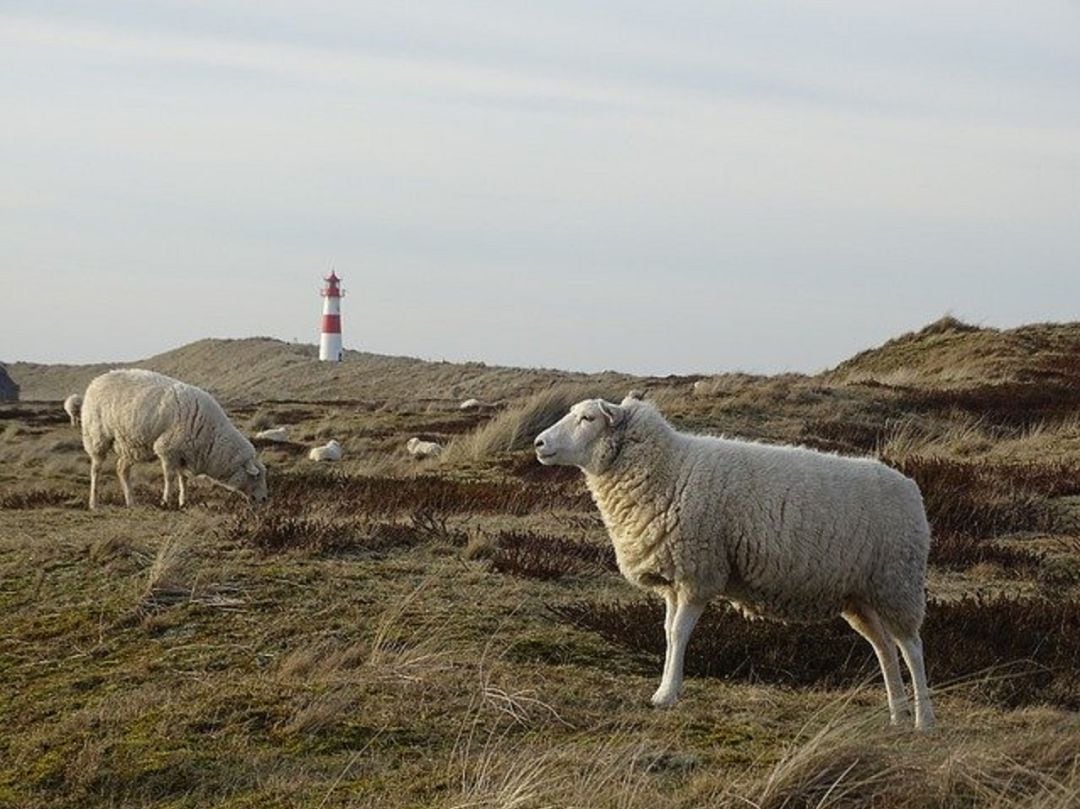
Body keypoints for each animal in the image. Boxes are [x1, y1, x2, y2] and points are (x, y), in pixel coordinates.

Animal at [81, 369, 267, 507]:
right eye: (256, 476)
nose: (265, 499)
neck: (212, 437)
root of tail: (96, 381)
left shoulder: (183, 454)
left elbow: (183, 479)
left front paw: (183, 502)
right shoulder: (167, 450)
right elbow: (170, 478)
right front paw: (166, 502)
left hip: (131, 445)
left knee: (122, 469)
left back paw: (131, 502)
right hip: (96, 436)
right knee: (95, 469)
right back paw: (93, 502)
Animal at [537, 395, 937, 730]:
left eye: (588, 418)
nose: (539, 443)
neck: (668, 469)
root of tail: (910, 486)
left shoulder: (699, 573)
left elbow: (679, 633)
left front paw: (667, 695)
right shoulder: (675, 578)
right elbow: (667, 632)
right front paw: (665, 687)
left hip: (897, 581)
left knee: (913, 647)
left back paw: (923, 719)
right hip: (860, 595)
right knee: (885, 648)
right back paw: (898, 714)